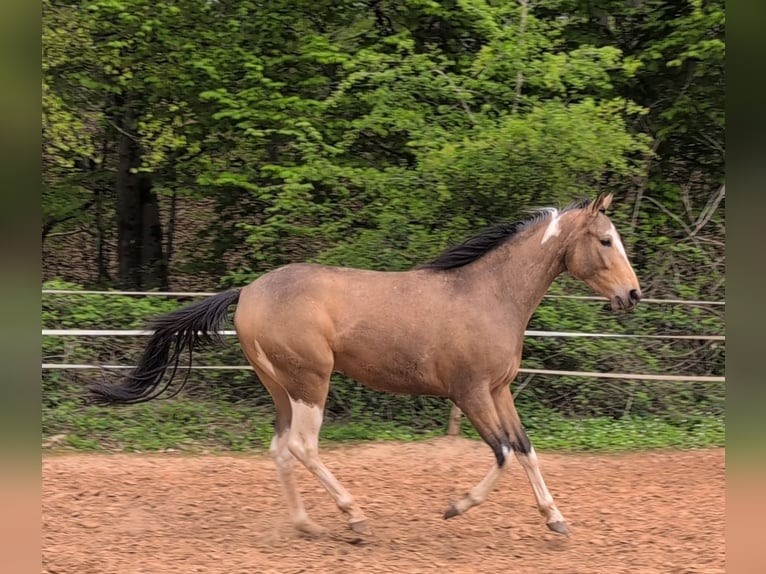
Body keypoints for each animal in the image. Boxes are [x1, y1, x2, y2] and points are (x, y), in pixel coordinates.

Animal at [88, 192, 641, 539]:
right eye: (606, 240)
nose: (632, 295)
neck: (488, 296)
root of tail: (246, 291)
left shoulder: (499, 390)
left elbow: (525, 449)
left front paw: (556, 520)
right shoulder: (469, 393)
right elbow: (503, 453)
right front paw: (454, 507)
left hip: (280, 388)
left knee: (280, 450)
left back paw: (309, 526)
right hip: (311, 382)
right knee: (303, 447)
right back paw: (353, 518)